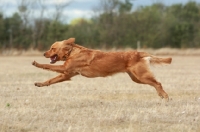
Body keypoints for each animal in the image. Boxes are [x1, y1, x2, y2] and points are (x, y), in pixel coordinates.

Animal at [32, 38, 172, 101]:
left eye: (52, 48)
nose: (43, 53)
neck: (73, 52)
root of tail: (139, 52)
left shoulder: (64, 68)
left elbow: (48, 66)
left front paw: (36, 63)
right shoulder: (66, 74)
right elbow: (50, 80)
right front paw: (40, 83)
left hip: (141, 75)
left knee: (158, 83)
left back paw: (165, 96)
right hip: (136, 78)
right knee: (155, 83)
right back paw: (161, 95)